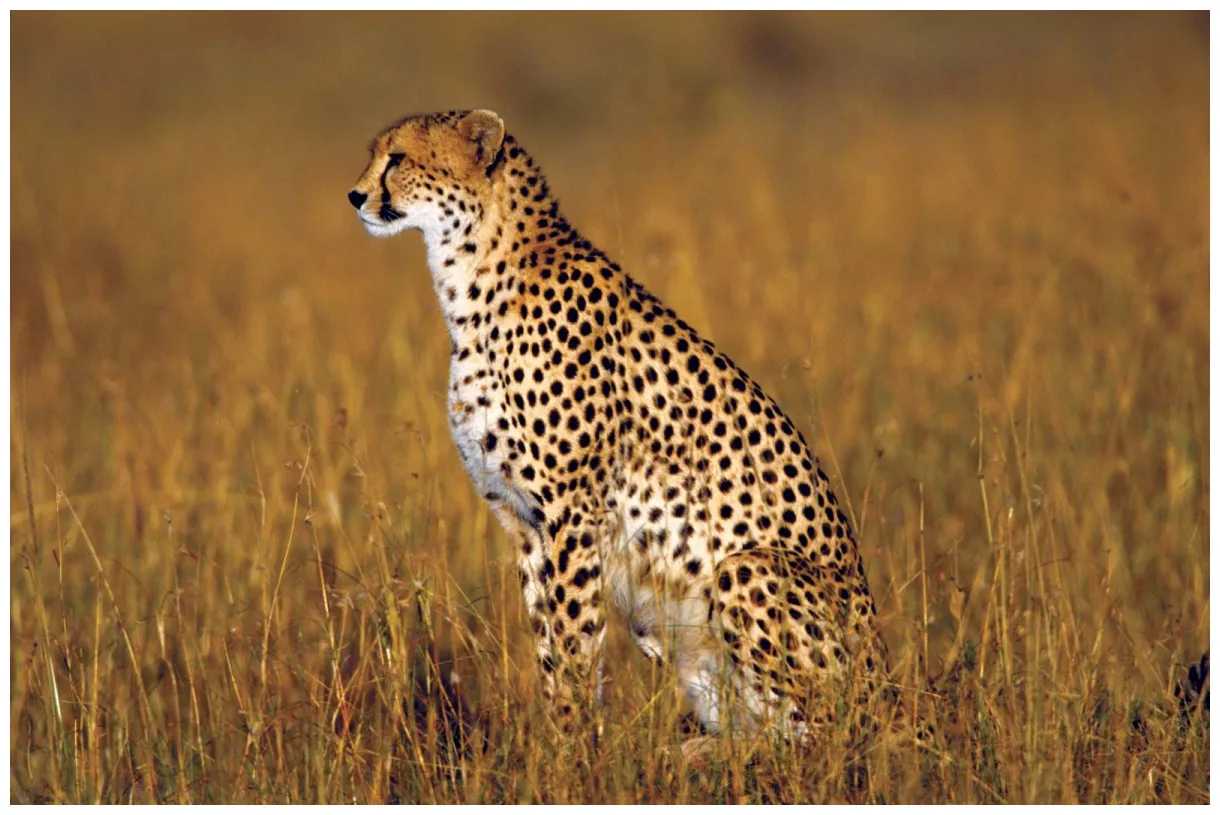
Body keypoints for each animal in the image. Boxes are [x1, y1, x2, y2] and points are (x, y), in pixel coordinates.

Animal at [347, 109, 919, 753]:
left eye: (398, 158)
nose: (356, 196)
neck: (472, 274)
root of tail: (893, 689)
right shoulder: (523, 521)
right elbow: (550, 646)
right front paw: (560, 743)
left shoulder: (573, 513)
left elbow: (575, 642)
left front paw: (573, 751)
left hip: (745, 570)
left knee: (833, 737)